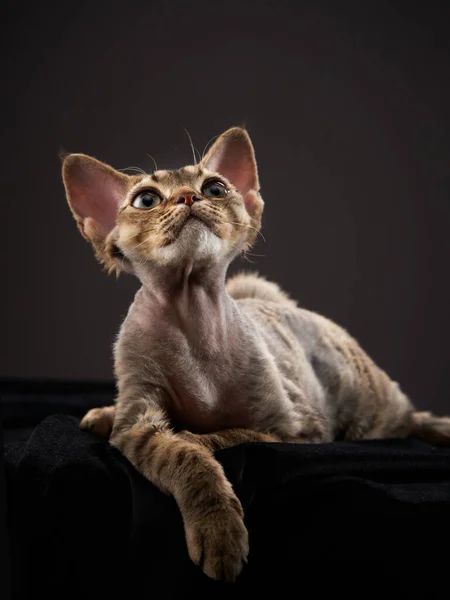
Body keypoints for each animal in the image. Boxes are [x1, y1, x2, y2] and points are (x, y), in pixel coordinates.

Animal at [60, 126, 450, 580]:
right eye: (146, 200)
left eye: (214, 188)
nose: (189, 197)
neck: (193, 318)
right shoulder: (138, 422)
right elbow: (186, 458)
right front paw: (220, 534)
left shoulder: (296, 428)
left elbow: (229, 435)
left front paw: (197, 443)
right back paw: (101, 414)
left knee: (407, 419)